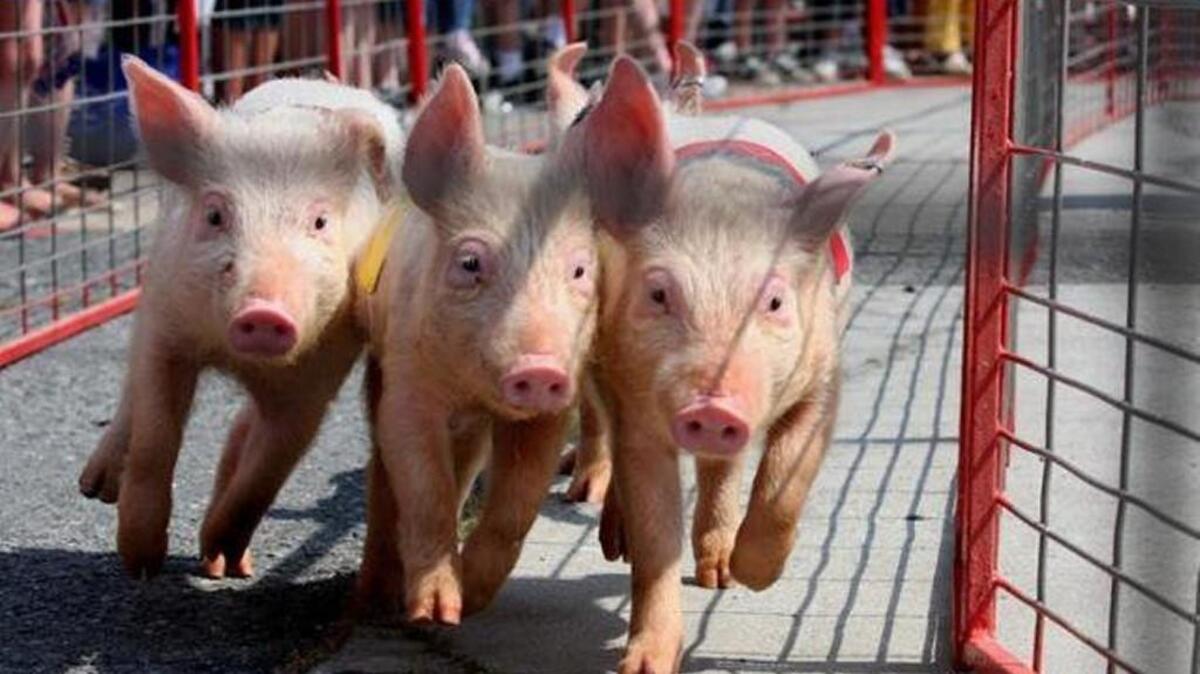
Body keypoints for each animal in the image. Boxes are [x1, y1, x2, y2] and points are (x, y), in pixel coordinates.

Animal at [76, 56, 402, 579]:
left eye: (320, 222)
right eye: (214, 215)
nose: (264, 312)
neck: (237, 360)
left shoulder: (316, 377)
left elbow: (266, 473)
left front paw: (222, 564)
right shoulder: (167, 327)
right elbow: (155, 436)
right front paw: (141, 563)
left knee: (242, 431)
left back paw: (224, 565)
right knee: (132, 397)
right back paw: (94, 488)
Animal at [353, 64, 600, 624]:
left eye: (579, 270)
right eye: (469, 263)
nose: (540, 368)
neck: (471, 388)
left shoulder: (551, 410)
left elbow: (519, 502)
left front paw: (474, 601)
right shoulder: (407, 382)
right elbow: (424, 487)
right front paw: (436, 615)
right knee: (384, 476)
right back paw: (374, 596)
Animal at [571, 57, 895, 673]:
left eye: (774, 301)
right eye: (658, 294)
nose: (714, 408)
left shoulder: (822, 375)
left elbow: (786, 480)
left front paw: (751, 576)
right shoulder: (630, 391)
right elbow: (654, 533)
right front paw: (643, 664)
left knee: (723, 469)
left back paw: (718, 574)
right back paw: (616, 543)